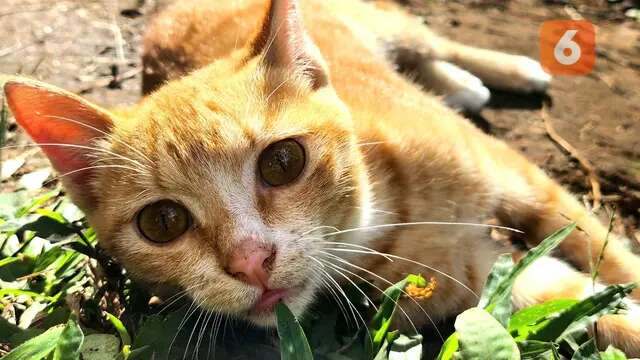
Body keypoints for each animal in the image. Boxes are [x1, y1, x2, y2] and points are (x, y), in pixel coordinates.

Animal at [1, 0, 640, 354]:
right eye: (162, 222)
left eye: (282, 162)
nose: (250, 261)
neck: (388, 218)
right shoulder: (484, 280)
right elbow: (584, 299)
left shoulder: (525, 181)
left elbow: (607, 255)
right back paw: (460, 85)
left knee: (428, 38)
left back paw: (500, 70)